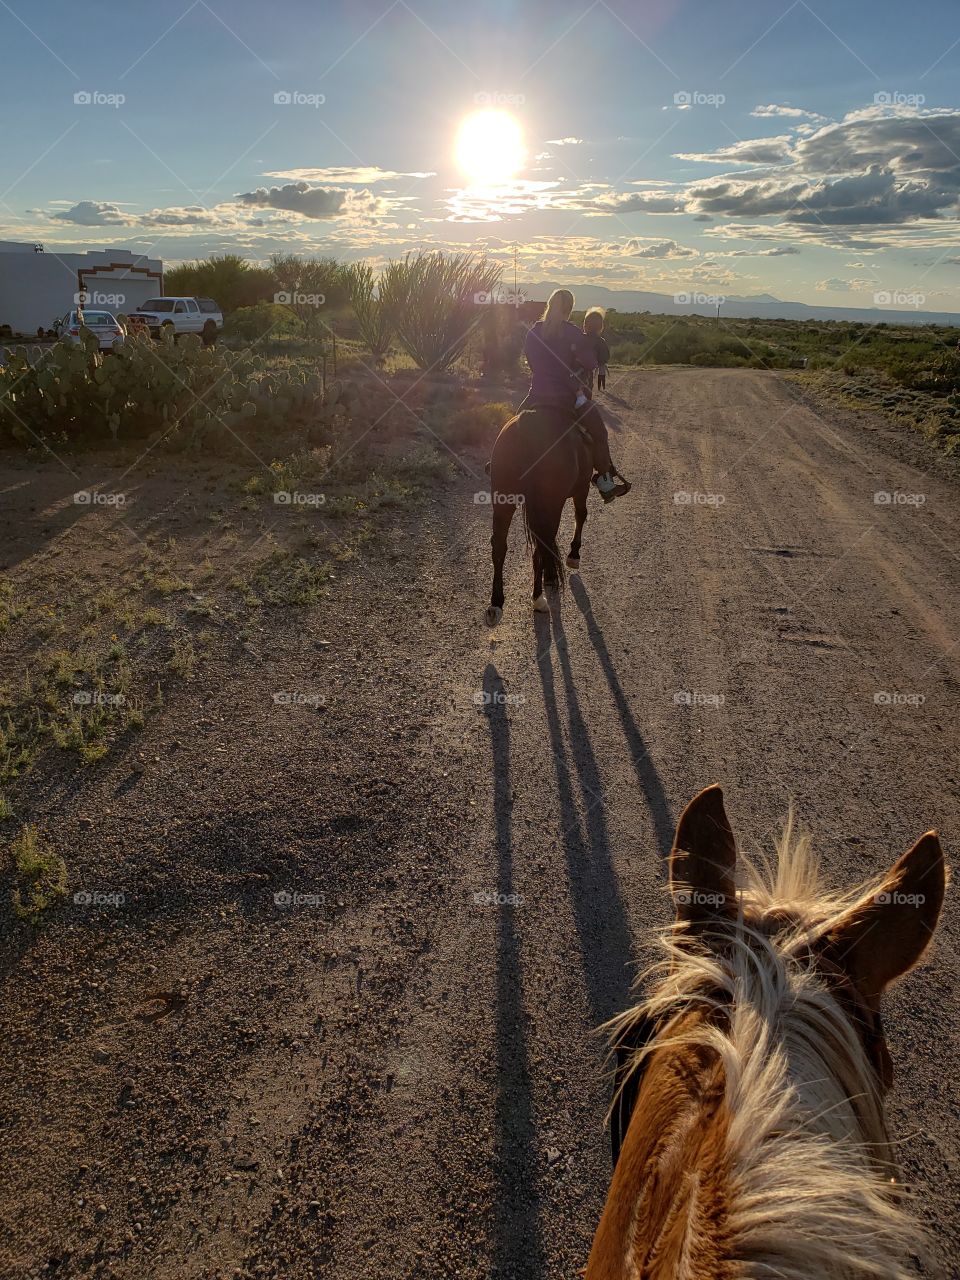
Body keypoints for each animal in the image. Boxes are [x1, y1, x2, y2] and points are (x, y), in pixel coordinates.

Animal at [488, 404, 593, 624]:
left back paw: (496, 603)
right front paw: (572, 556)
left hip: (504, 499)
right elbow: (581, 514)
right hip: (551, 502)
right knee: (541, 545)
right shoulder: (582, 488)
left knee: (499, 545)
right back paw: (538, 598)